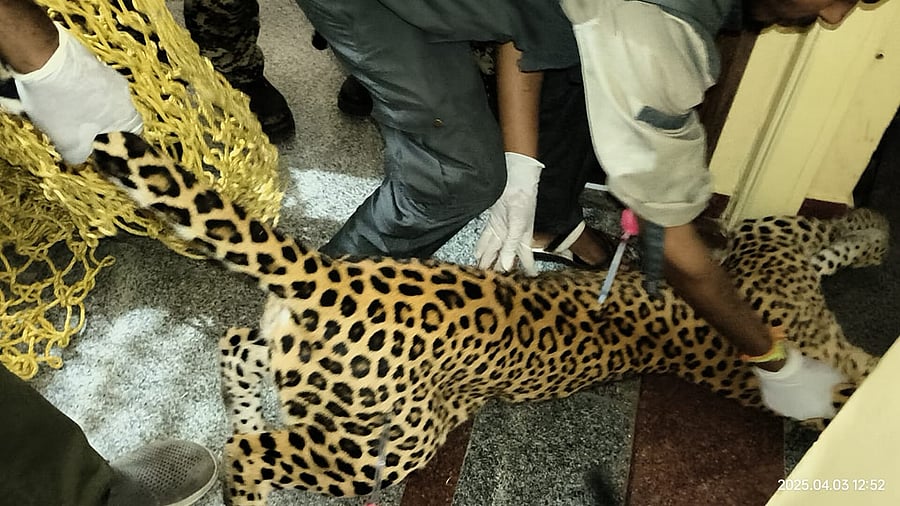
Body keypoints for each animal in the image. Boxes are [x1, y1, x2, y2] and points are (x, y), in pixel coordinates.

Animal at [90, 131, 889, 506]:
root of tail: (329, 272)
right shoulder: (774, 251)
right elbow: (833, 244)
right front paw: (876, 228)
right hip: (380, 447)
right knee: (251, 451)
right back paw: (248, 481)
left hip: (314, 379)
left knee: (237, 347)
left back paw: (247, 408)